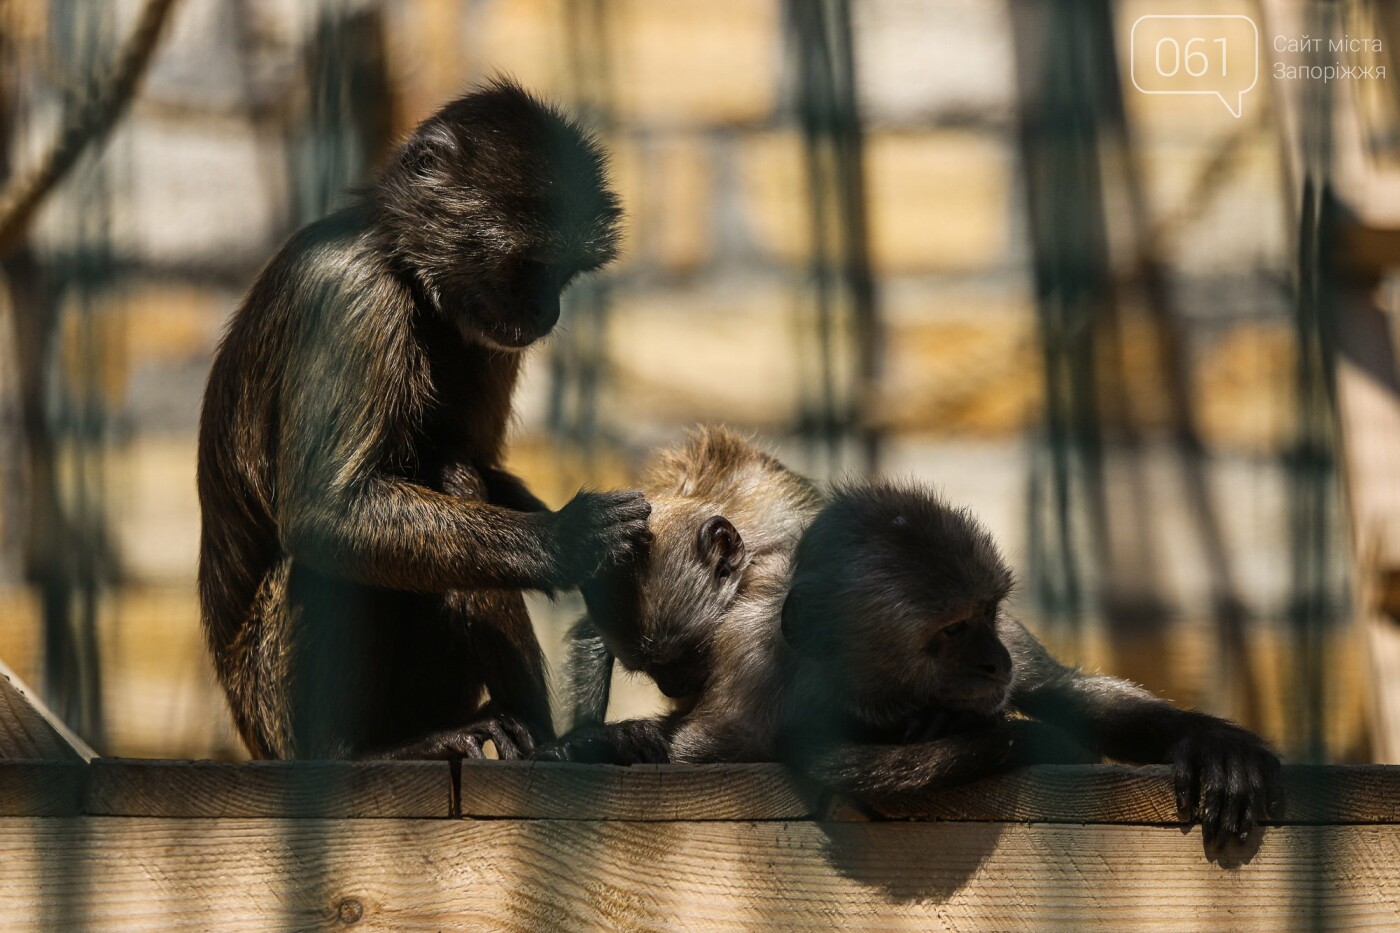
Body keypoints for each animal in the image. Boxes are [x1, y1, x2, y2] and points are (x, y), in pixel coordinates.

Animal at [200, 83, 646, 762]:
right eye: (530, 267)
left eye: (563, 272)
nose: (548, 309)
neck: (403, 266)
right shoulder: (353, 291)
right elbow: (322, 515)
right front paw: (566, 542)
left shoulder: (487, 333)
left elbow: (481, 465)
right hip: (273, 705)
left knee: (455, 472)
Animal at [784, 481, 1282, 846]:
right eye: (952, 631)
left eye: (987, 612)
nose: (995, 660)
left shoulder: (1007, 635)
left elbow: (1068, 698)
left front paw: (1211, 744)